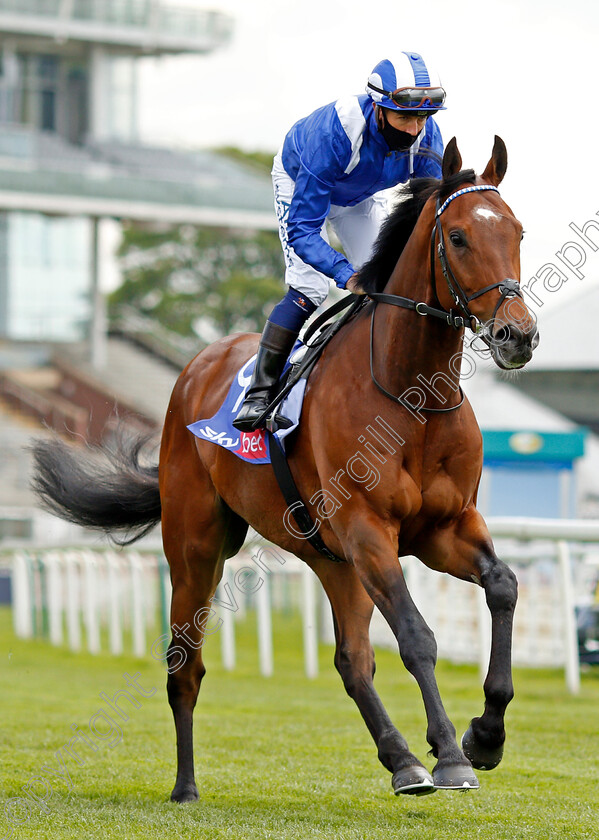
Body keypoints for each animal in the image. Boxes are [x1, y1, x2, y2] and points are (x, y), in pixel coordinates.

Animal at [31, 138, 540, 800]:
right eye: (457, 237)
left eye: (517, 231)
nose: (517, 335)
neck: (414, 397)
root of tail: (197, 366)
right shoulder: (369, 530)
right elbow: (417, 636)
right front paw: (452, 753)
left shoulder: (444, 528)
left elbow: (503, 586)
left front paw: (486, 735)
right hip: (198, 548)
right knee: (184, 666)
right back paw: (186, 786)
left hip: (334, 561)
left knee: (352, 661)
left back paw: (401, 759)